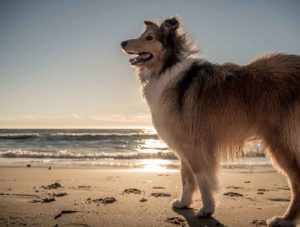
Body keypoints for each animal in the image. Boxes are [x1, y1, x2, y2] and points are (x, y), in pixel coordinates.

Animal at [120, 16, 298, 226]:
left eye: (149, 38)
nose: (122, 43)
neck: (167, 68)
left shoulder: (195, 145)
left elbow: (201, 178)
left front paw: (206, 209)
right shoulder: (184, 147)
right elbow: (186, 177)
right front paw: (183, 203)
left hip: (280, 141)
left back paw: (285, 219)